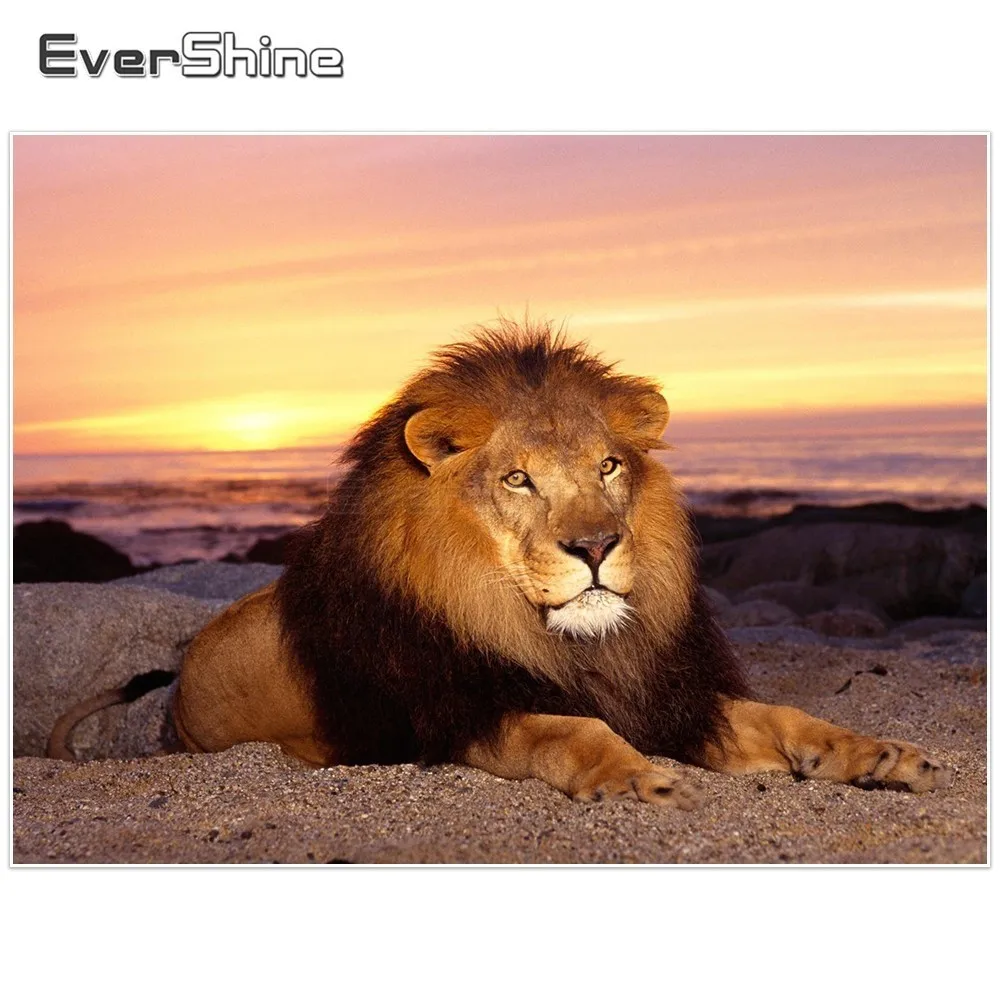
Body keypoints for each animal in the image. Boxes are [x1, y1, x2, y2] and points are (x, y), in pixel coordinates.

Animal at [49, 320, 953, 806]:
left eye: (608, 467)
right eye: (519, 479)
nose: (596, 547)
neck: (569, 642)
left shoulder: (669, 694)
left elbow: (789, 718)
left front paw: (879, 755)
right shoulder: (459, 713)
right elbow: (568, 729)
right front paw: (639, 779)